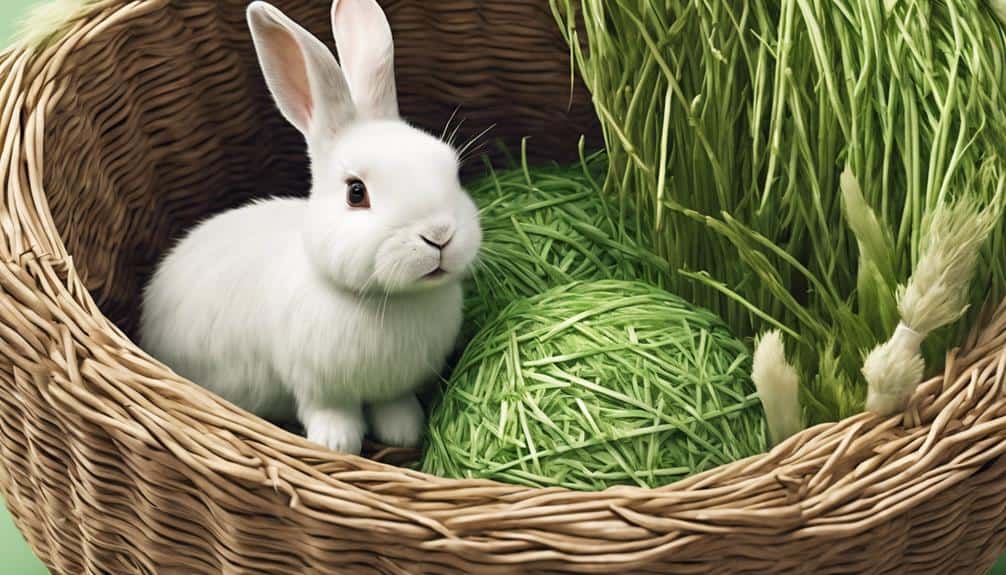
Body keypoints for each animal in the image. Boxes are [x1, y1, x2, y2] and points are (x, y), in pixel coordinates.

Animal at [139, 0, 482, 454]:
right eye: (356, 192)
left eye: (452, 170)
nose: (439, 235)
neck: (383, 300)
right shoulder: (317, 386)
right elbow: (331, 412)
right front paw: (337, 444)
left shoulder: (393, 386)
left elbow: (394, 405)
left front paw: (405, 431)